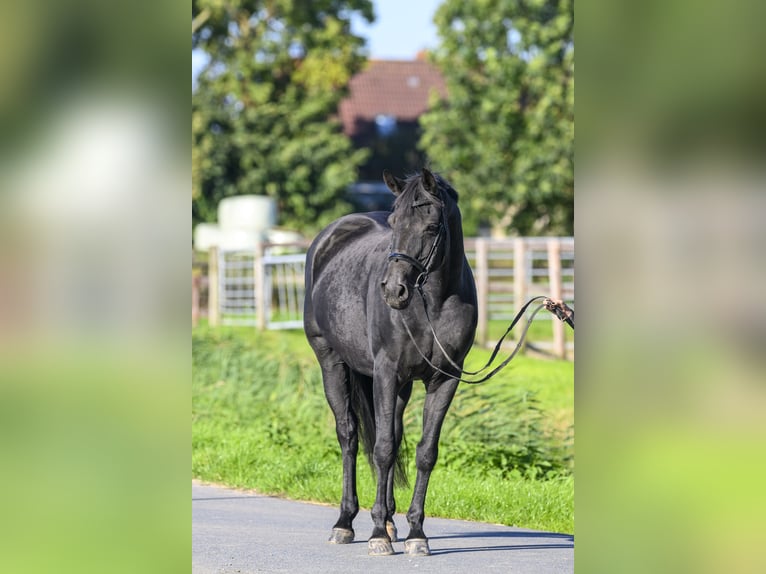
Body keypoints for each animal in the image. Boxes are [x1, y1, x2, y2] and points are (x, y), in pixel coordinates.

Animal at [304, 169, 476, 556]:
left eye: (431, 226)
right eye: (395, 222)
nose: (393, 290)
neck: (433, 303)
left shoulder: (445, 379)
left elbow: (424, 452)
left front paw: (415, 533)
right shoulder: (386, 372)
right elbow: (381, 450)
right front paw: (377, 536)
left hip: (401, 387)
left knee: (393, 437)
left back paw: (387, 522)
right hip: (332, 364)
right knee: (350, 437)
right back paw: (346, 523)